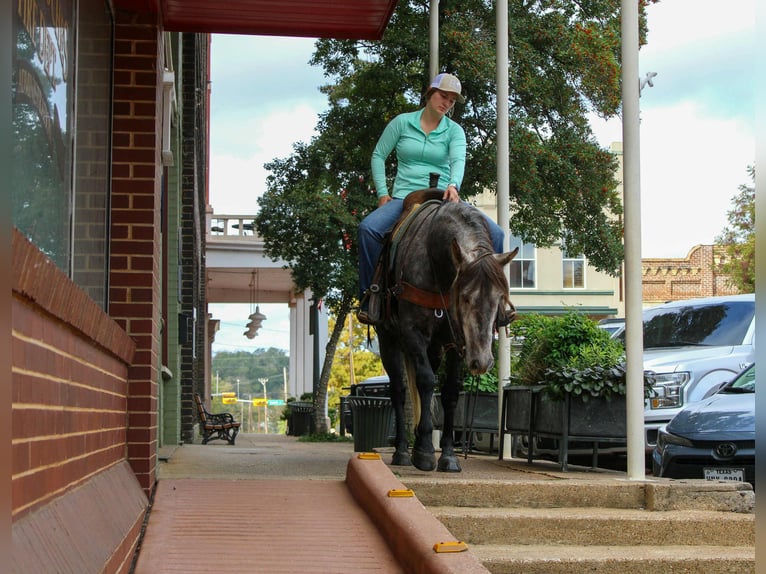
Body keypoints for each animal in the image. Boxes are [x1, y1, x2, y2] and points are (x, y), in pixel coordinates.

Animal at [374, 191, 518, 472]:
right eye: (465, 297)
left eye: (499, 298)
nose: (482, 361)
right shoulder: (414, 333)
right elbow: (426, 381)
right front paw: (425, 452)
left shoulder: (455, 341)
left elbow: (450, 391)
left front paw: (448, 455)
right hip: (388, 339)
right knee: (399, 390)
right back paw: (403, 452)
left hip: (435, 347)